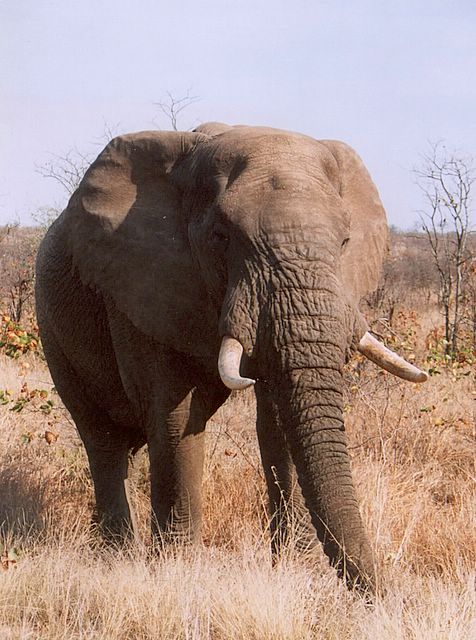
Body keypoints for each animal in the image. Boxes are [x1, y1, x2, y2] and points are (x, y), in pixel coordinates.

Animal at [34, 124, 428, 596]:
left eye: (346, 241)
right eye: (221, 237)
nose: (387, 596)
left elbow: (278, 416)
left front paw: (295, 569)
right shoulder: (142, 285)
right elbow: (176, 414)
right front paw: (177, 570)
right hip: (52, 328)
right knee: (103, 439)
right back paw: (116, 555)